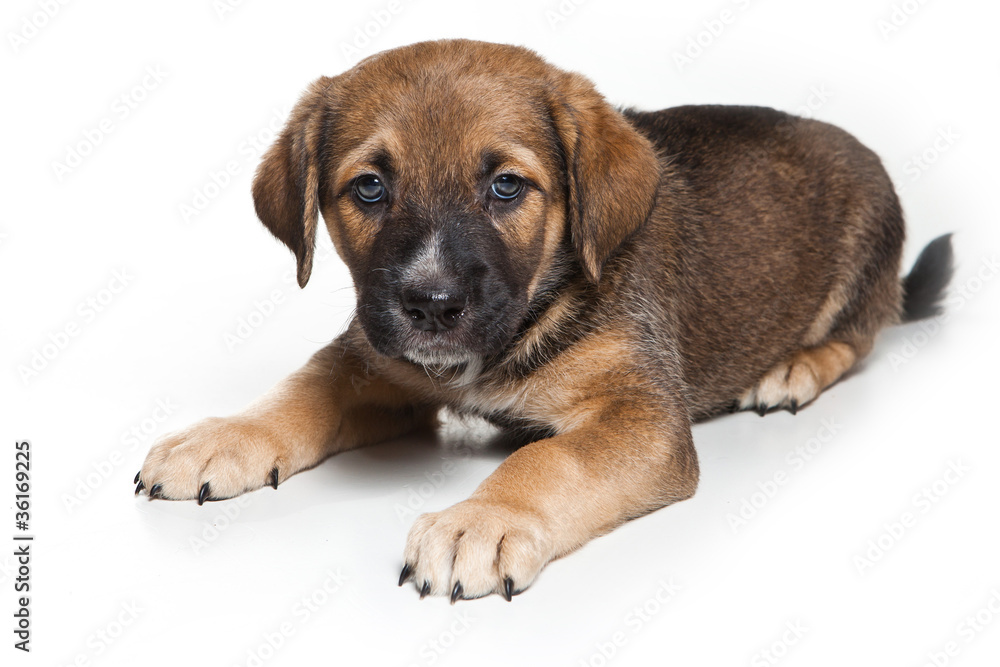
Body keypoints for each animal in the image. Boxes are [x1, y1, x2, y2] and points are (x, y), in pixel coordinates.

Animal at [135, 41, 952, 604]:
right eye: (369, 188)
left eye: (506, 186)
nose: (431, 306)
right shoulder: (375, 359)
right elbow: (303, 387)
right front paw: (222, 436)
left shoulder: (640, 413)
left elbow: (550, 460)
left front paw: (483, 522)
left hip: (865, 256)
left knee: (860, 334)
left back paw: (795, 370)